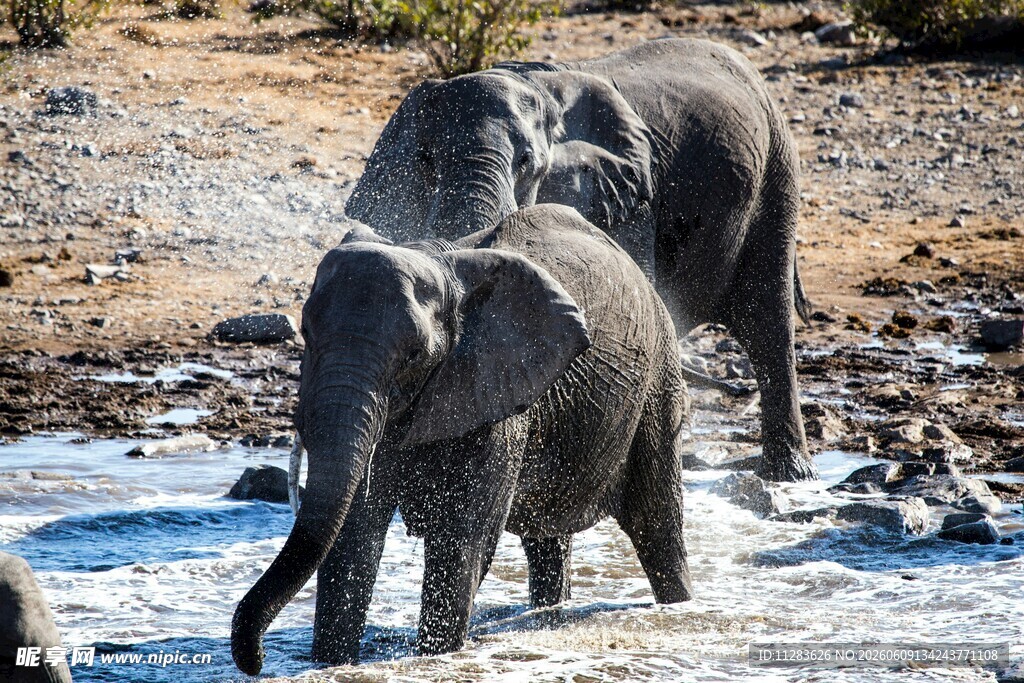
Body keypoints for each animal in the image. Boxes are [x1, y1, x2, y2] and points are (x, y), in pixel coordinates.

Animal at [231, 204, 693, 675]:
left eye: (414, 355)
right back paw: (550, 615)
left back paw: (682, 609)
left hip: (658, 380)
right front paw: (332, 666)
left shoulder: (496, 392)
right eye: (306, 333)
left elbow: (461, 539)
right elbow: (354, 536)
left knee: (656, 523)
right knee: (548, 538)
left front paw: (435, 660)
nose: (256, 660)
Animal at [346, 37, 817, 482]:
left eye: (527, 162)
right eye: (425, 159)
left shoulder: (629, 201)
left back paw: (790, 475)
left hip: (778, 170)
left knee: (767, 319)